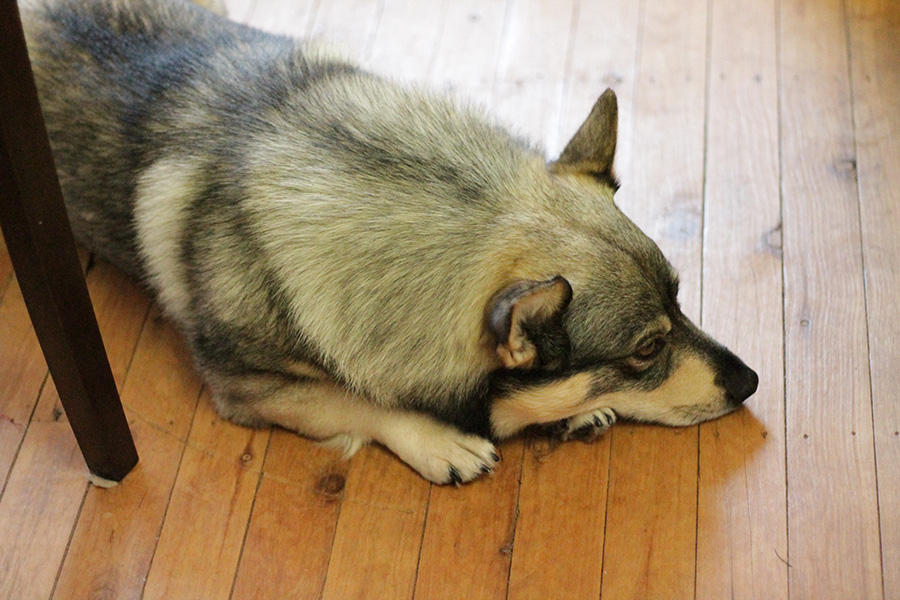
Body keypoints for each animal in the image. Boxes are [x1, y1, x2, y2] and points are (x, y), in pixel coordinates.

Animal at [22, 0, 760, 482]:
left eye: (681, 302)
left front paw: (574, 410)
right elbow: (358, 399)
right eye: (646, 350)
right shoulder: (244, 388)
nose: (751, 381)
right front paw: (441, 440)